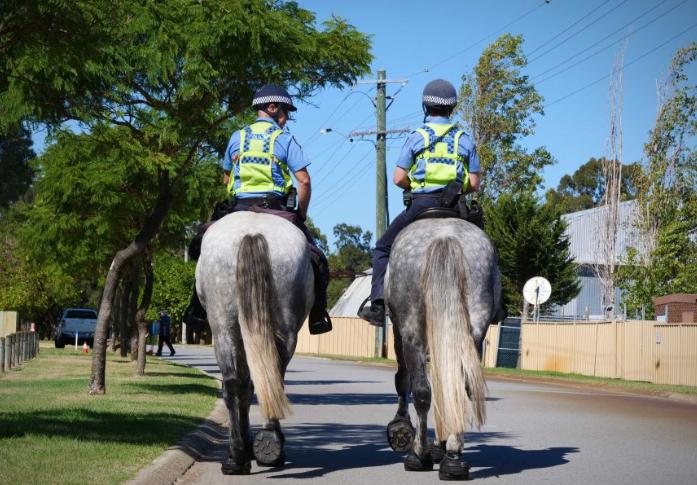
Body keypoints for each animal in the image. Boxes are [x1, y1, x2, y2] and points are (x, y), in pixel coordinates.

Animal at [194, 211, 312, 472]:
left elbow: (245, 388)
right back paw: (267, 445)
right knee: (267, 381)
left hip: (224, 328)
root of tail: (252, 232)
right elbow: (248, 387)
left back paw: (238, 456)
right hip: (280, 331)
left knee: (233, 384)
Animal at [384, 217, 502, 478]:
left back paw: (419, 455)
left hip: (412, 332)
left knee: (421, 391)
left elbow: (405, 381)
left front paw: (402, 427)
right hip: (474, 326)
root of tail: (445, 236)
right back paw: (454, 458)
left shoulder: (399, 332)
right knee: (460, 387)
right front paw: (443, 446)